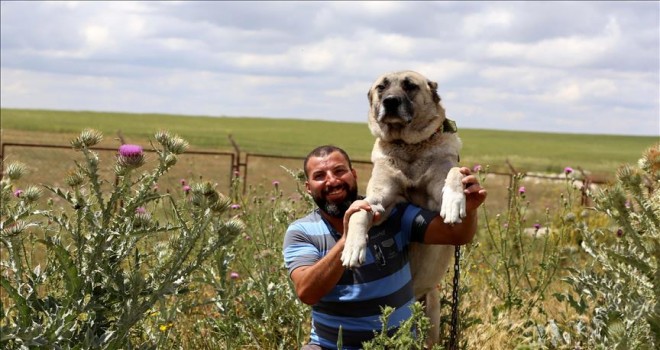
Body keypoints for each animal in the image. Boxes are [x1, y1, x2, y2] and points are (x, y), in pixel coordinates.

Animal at [342, 70, 466, 344]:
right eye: (382, 87)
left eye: (410, 86)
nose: (390, 102)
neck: (409, 147)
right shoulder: (378, 203)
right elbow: (358, 213)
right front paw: (353, 248)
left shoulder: (437, 195)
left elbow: (454, 172)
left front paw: (455, 202)